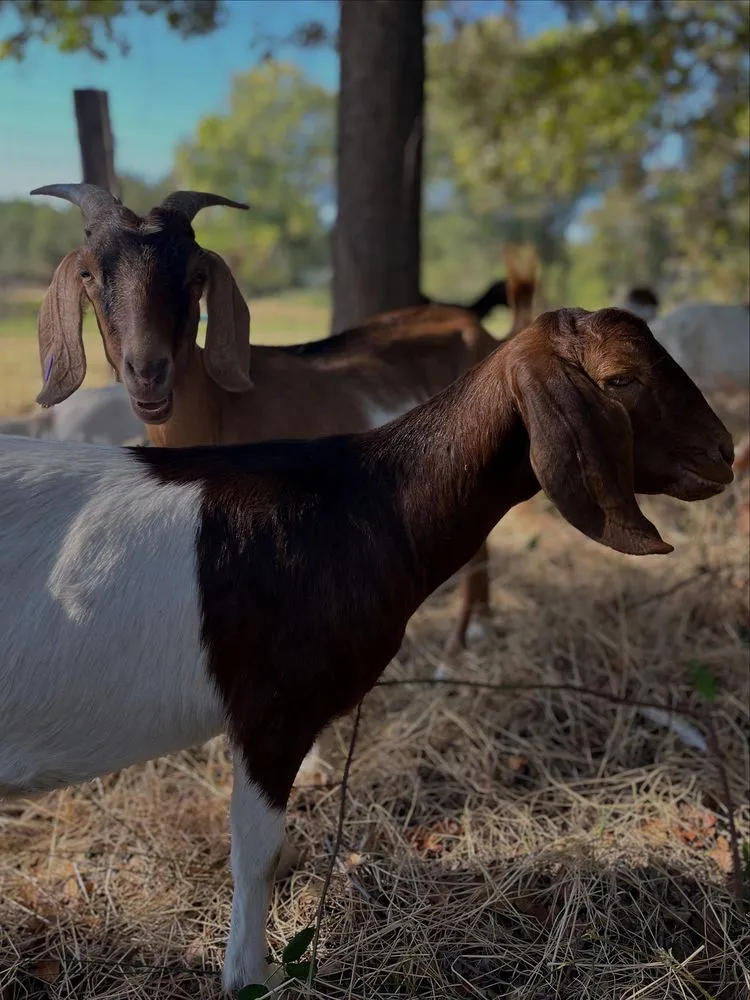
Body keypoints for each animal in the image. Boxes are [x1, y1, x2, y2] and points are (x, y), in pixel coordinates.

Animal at [0, 305, 734, 992]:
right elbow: (258, 851)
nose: (722, 453)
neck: (364, 500)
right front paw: (251, 978)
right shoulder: (272, 713)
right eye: (620, 379)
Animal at [30, 183, 537, 661]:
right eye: (88, 274)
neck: (219, 408)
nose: (149, 371)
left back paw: (459, 641)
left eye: (197, 275)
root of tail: (484, 334)